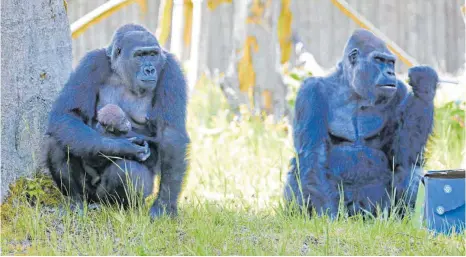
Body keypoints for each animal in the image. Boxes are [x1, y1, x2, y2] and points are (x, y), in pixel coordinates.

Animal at [43, 24, 189, 217]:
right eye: (139, 55)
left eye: (152, 54)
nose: (150, 69)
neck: (121, 72)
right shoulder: (91, 62)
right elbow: (68, 115)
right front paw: (124, 147)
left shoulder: (172, 70)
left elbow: (171, 134)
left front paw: (164, 204)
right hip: (89, 194)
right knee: (58, 141)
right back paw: (76, 201)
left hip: (107, 197)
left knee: (129, 173)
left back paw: (119, 208)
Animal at [284, 29, 440, 217]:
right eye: (379, 60)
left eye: (391, 63)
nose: (391, 73)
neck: (351, 89)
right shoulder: (310, 91)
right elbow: (313, 155)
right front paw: (326, 214)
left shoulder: (399, 91)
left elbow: (402, 154)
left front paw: (424, 86)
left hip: (379, 211)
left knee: (409, 167)